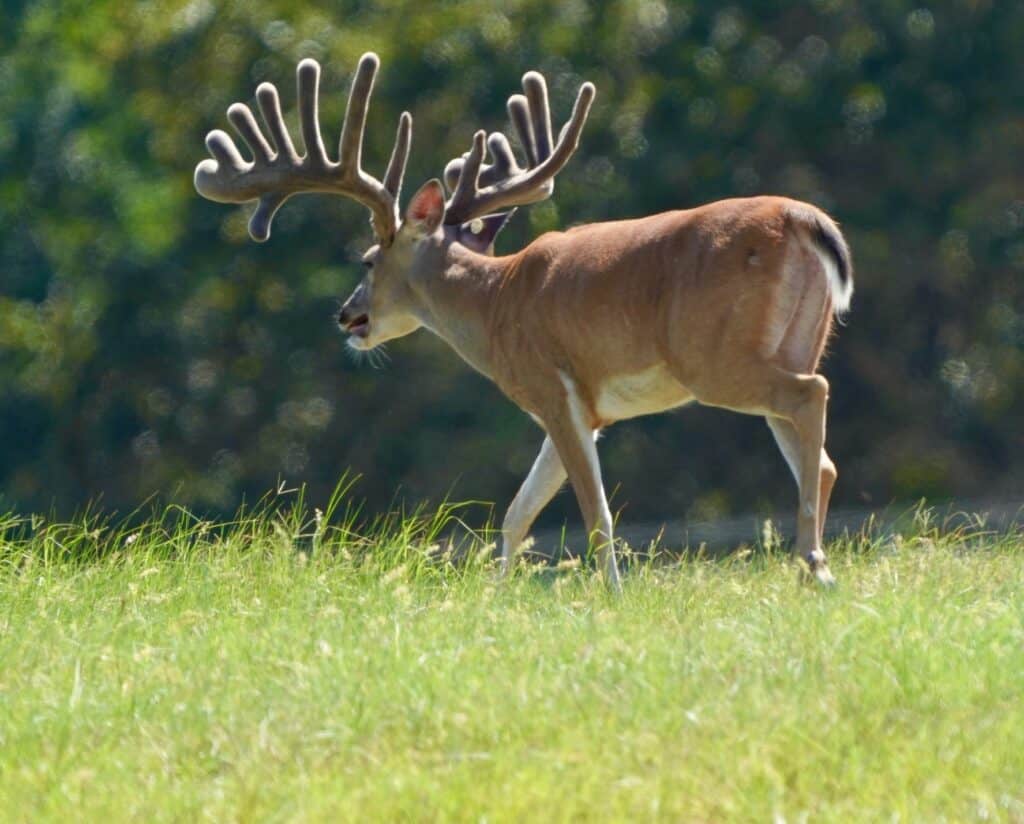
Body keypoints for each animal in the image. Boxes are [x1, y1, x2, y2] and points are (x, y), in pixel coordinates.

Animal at [194, 53, 853, 591]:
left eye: (367, 260)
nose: (346, 315)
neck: (496, 303)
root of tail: (802, 218)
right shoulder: (583, 411)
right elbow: (518, 512)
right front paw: (497, 595)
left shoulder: (552, 390)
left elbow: (594, 512)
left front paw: (612, 596)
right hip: (797, 340)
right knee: (820, 456)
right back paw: (811, 569)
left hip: (713, 357)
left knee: (814, 396)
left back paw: (813, 563)